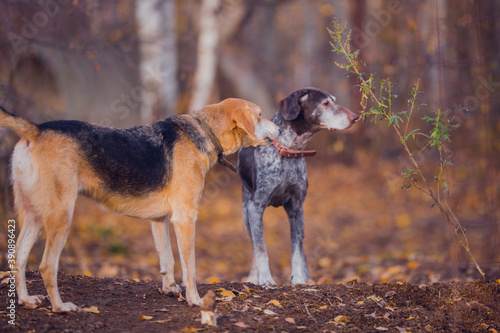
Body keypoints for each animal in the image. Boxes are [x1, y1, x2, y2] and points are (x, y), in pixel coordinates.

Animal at [236, 87, 358, 284]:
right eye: (325, 103)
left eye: (334, 100)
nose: (355, 117)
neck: (289, 150)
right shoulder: (256, 207)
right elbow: (261, 250)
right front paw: (266, 279)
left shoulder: (296, 208)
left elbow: (297, 252)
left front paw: (299, 279)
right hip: (246, 215)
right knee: (255, 247)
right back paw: (254, 278)